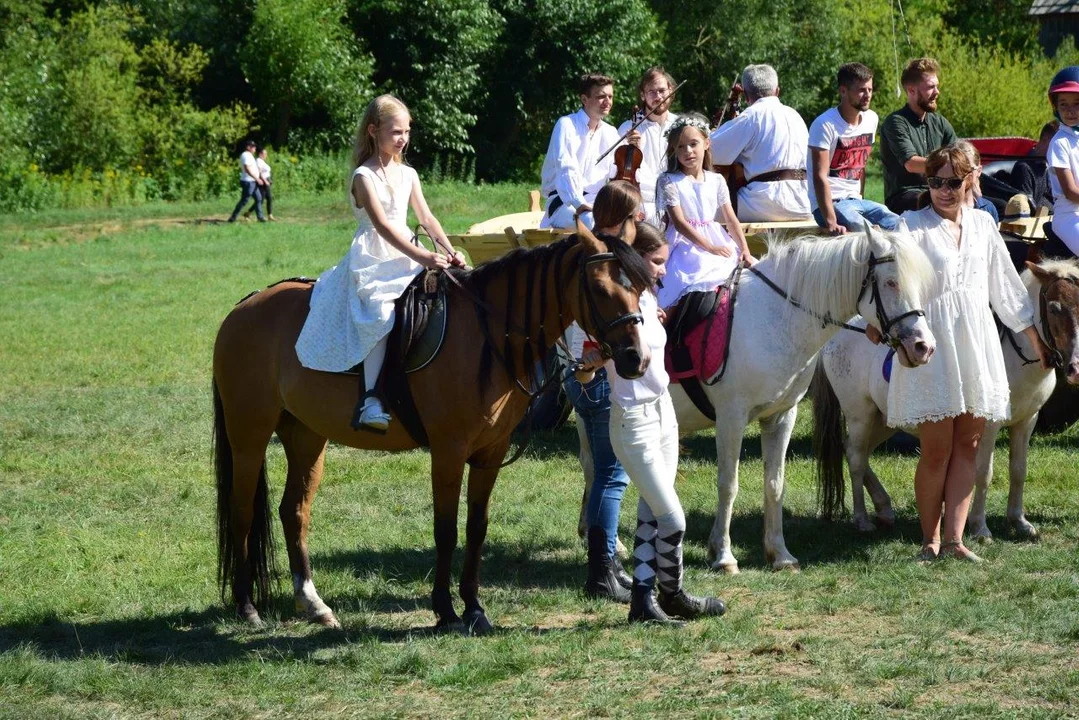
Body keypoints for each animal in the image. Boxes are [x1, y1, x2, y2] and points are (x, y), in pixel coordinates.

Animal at [210, 223, 647, 630]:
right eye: (600, 287)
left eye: (641, 286)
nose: (636, 358)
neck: (487, 334)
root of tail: (245, 305)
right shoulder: (448, 451)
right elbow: (446, 530)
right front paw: (446, 611)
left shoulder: (490, 452)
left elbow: (476, 528)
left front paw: (474, 608)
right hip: (248, 435)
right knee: (242, 511)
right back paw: (247, 606)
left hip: (306, 436)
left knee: (294, 511)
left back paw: (313, 604)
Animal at [668, 226, 940, 574]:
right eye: (891, 282)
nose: (924, 347)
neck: (772, 320)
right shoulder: (731, 417)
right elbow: (728, 484)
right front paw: (724, 555)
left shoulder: (781, 416)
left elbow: (774, 484)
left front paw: (780, 554)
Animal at [811, 259, 1079, 539]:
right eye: (1054, 308)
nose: (1075, 368)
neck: (1016, 357)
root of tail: (837, 335)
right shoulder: (989, 425)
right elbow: (983, 473)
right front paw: (980, 527)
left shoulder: (1027, 421)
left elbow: (1018, 470)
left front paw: (1019, 521)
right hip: (860, 415)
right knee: (856, 458)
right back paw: (862, 519)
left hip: (882, 420)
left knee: (856, 452)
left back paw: (884, 509)